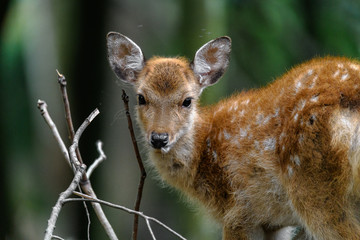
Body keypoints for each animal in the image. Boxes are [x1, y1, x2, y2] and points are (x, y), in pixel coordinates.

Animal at [107, 31, 360, 240]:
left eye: (187, 100)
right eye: (141, 97)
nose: (159, 138)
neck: (203, 154)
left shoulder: (239, 211)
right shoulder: (273, 222)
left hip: (313, 184)